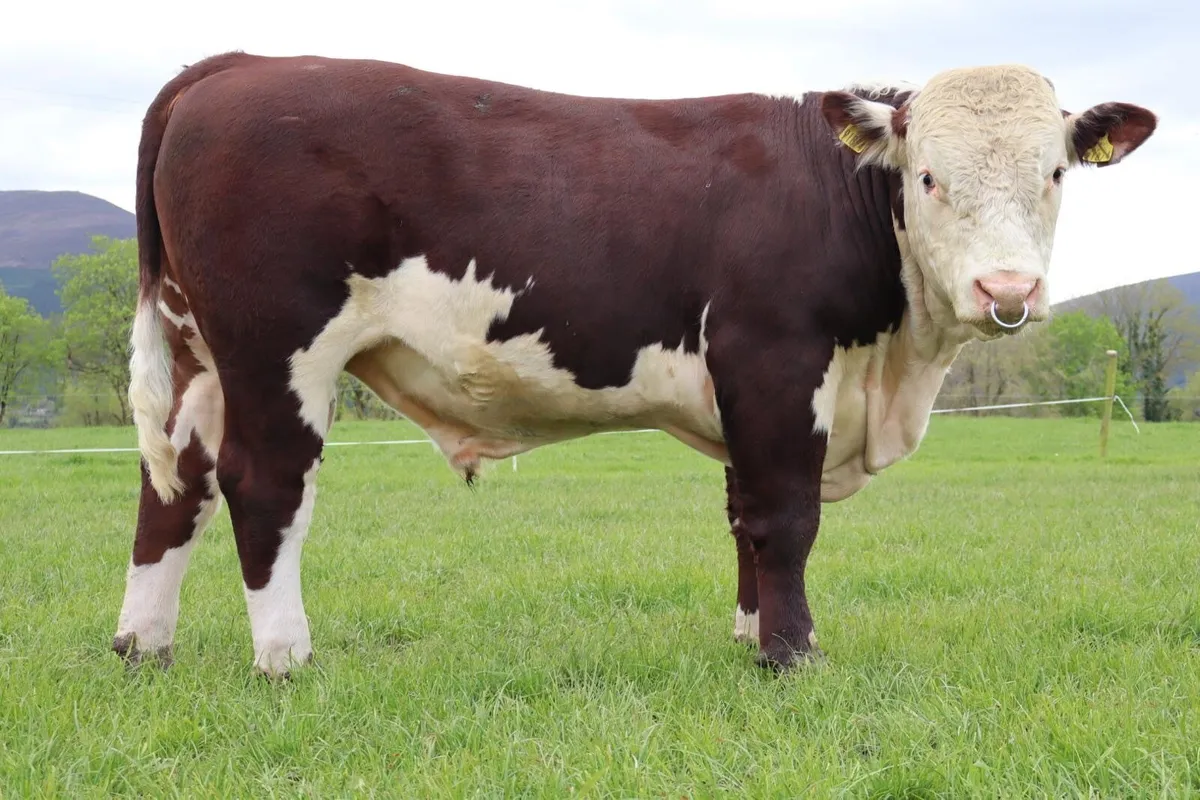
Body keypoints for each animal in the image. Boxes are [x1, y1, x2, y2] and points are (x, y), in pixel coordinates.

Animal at [112, 50, 1156, 677]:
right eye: (929, 176)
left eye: (1054, 174)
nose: (1007, 289)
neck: (895, 362)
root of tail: (237, 65)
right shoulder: (774, 360)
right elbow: (786, 517)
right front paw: (791, 655)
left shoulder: (748, 389)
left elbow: (743, 518)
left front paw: (748, 633)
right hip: (277, 352)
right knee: (263, 486)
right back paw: (285, 655)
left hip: (200, 354)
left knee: (177, 486)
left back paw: (143, 643)